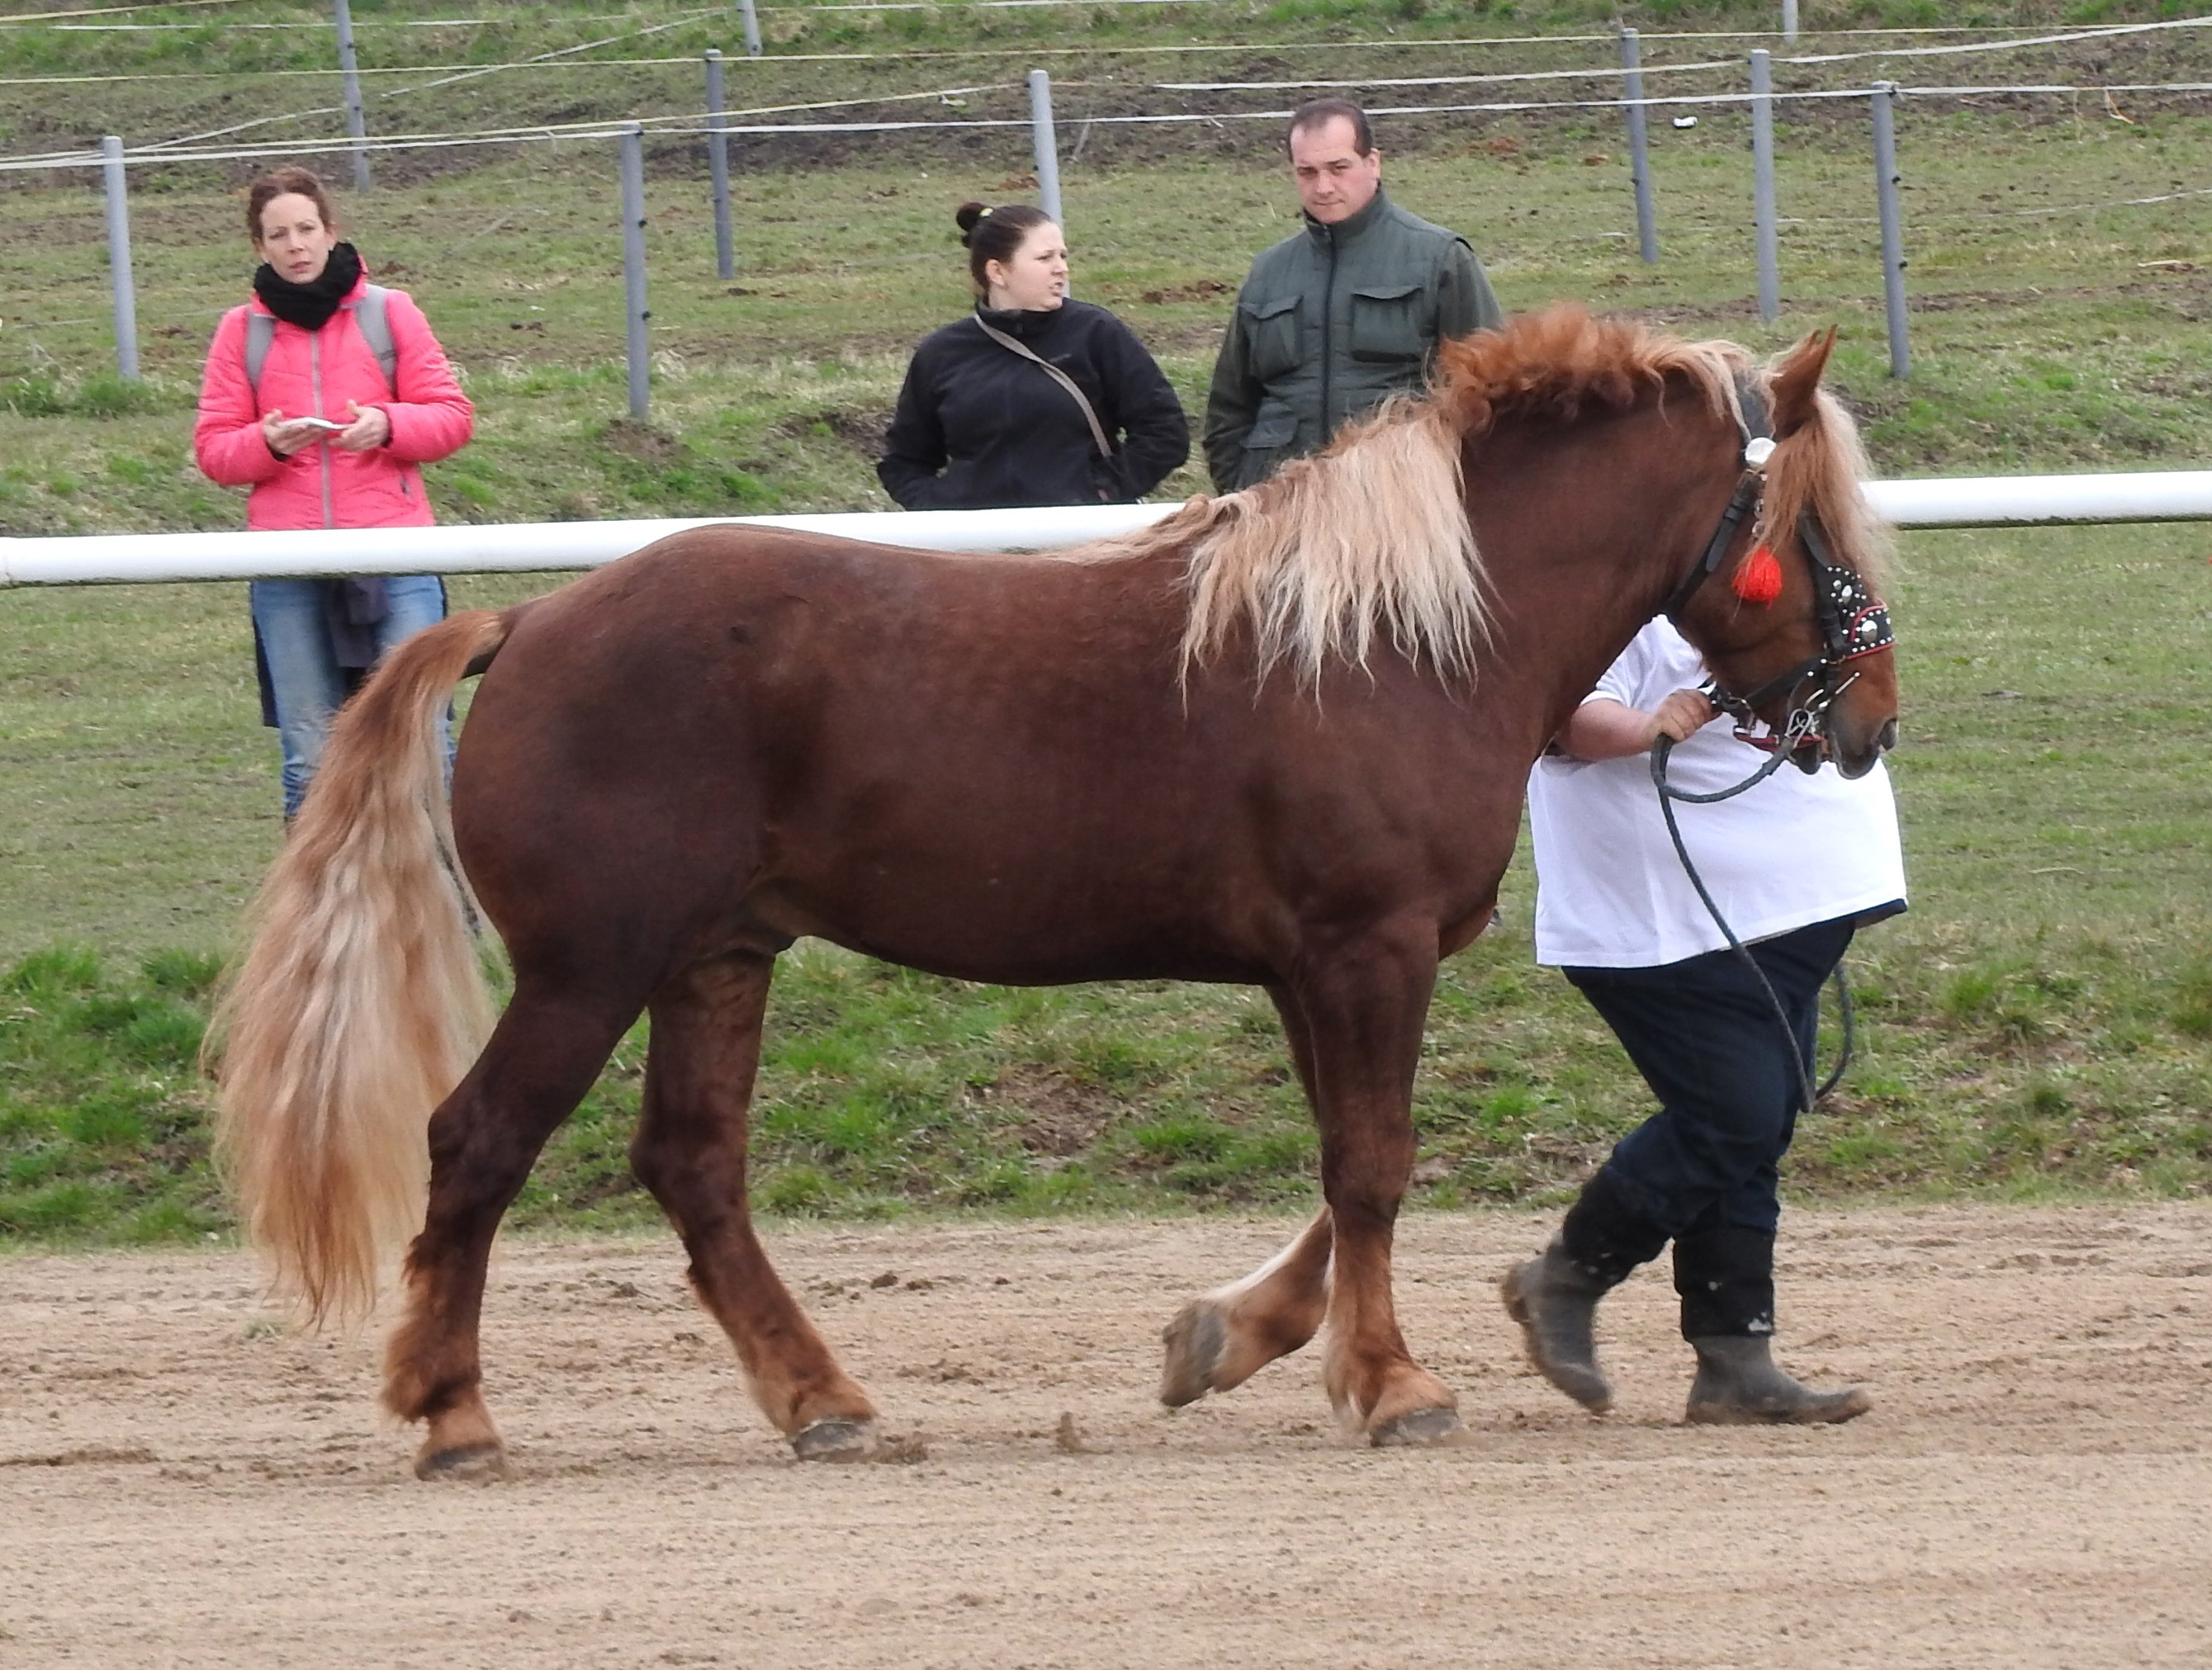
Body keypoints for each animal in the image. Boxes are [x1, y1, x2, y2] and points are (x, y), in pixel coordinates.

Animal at [211, 307, 1902, 1486]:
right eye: (1810, 527)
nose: (1866, 718)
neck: (1396, 637)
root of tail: (532, 620)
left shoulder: (1315, 968)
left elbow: (1338, 1171)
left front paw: (1235, 1339)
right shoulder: (1366, 951)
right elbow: (1371, 1165)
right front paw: (1395, 1386)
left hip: (716, 959)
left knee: (693, 1169)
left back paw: (822, 1400)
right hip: (588, 969)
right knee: (475, 1146)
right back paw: (454, 1414)